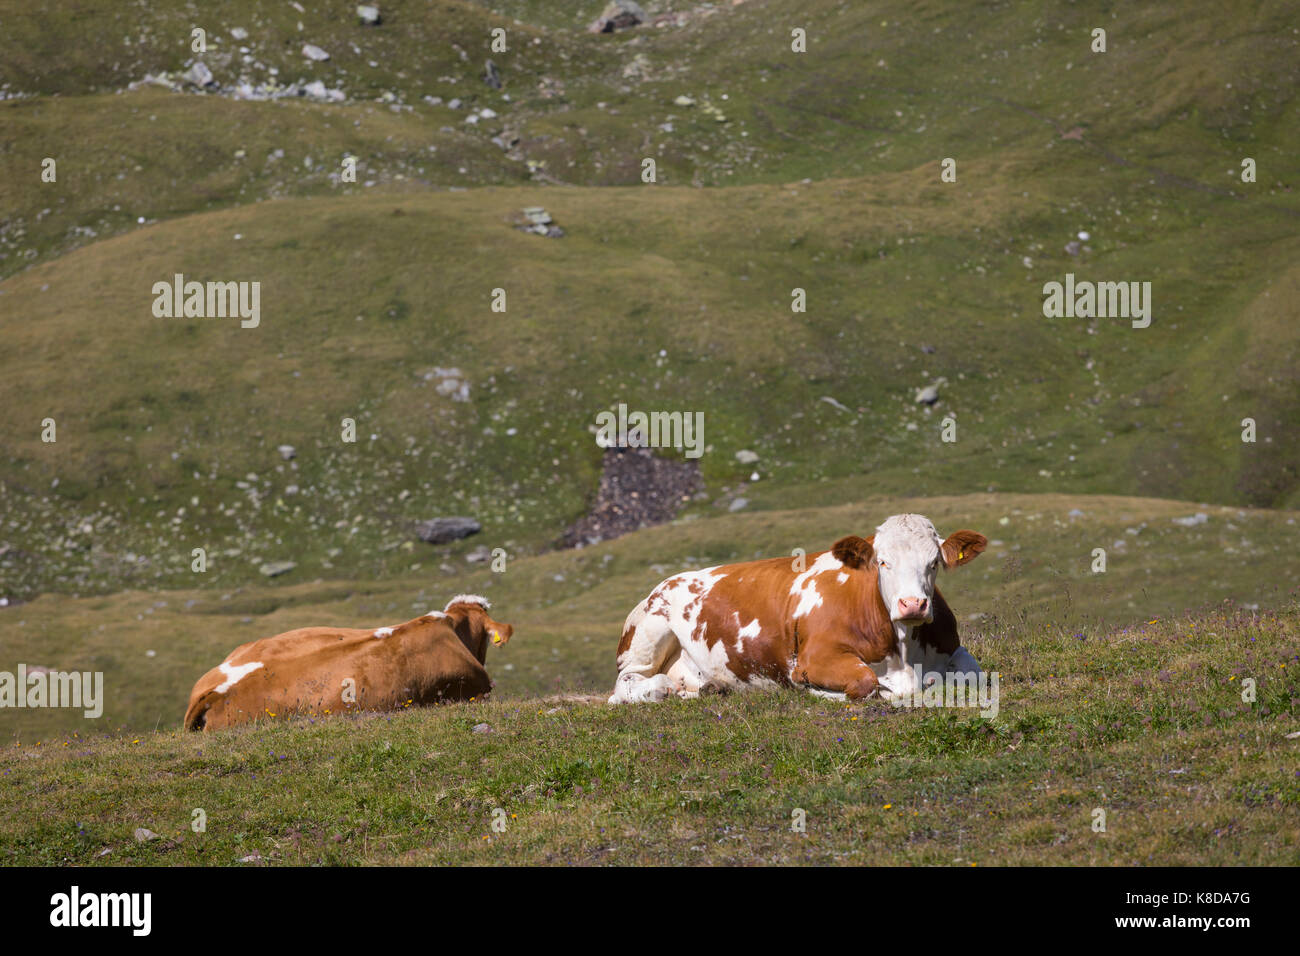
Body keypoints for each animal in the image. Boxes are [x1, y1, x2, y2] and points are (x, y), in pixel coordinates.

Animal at [608, 512, 982, 707]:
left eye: (934, 562)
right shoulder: (816, 656)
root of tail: (665, 582)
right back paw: (661, 688)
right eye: (882, 562)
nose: (913, 604)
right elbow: (864, 682)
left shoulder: (952, 648)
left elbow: (973, 674)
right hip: (648, 634)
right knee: (625, 687)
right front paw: (818, 691)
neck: (903, 653)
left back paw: (710, 688)